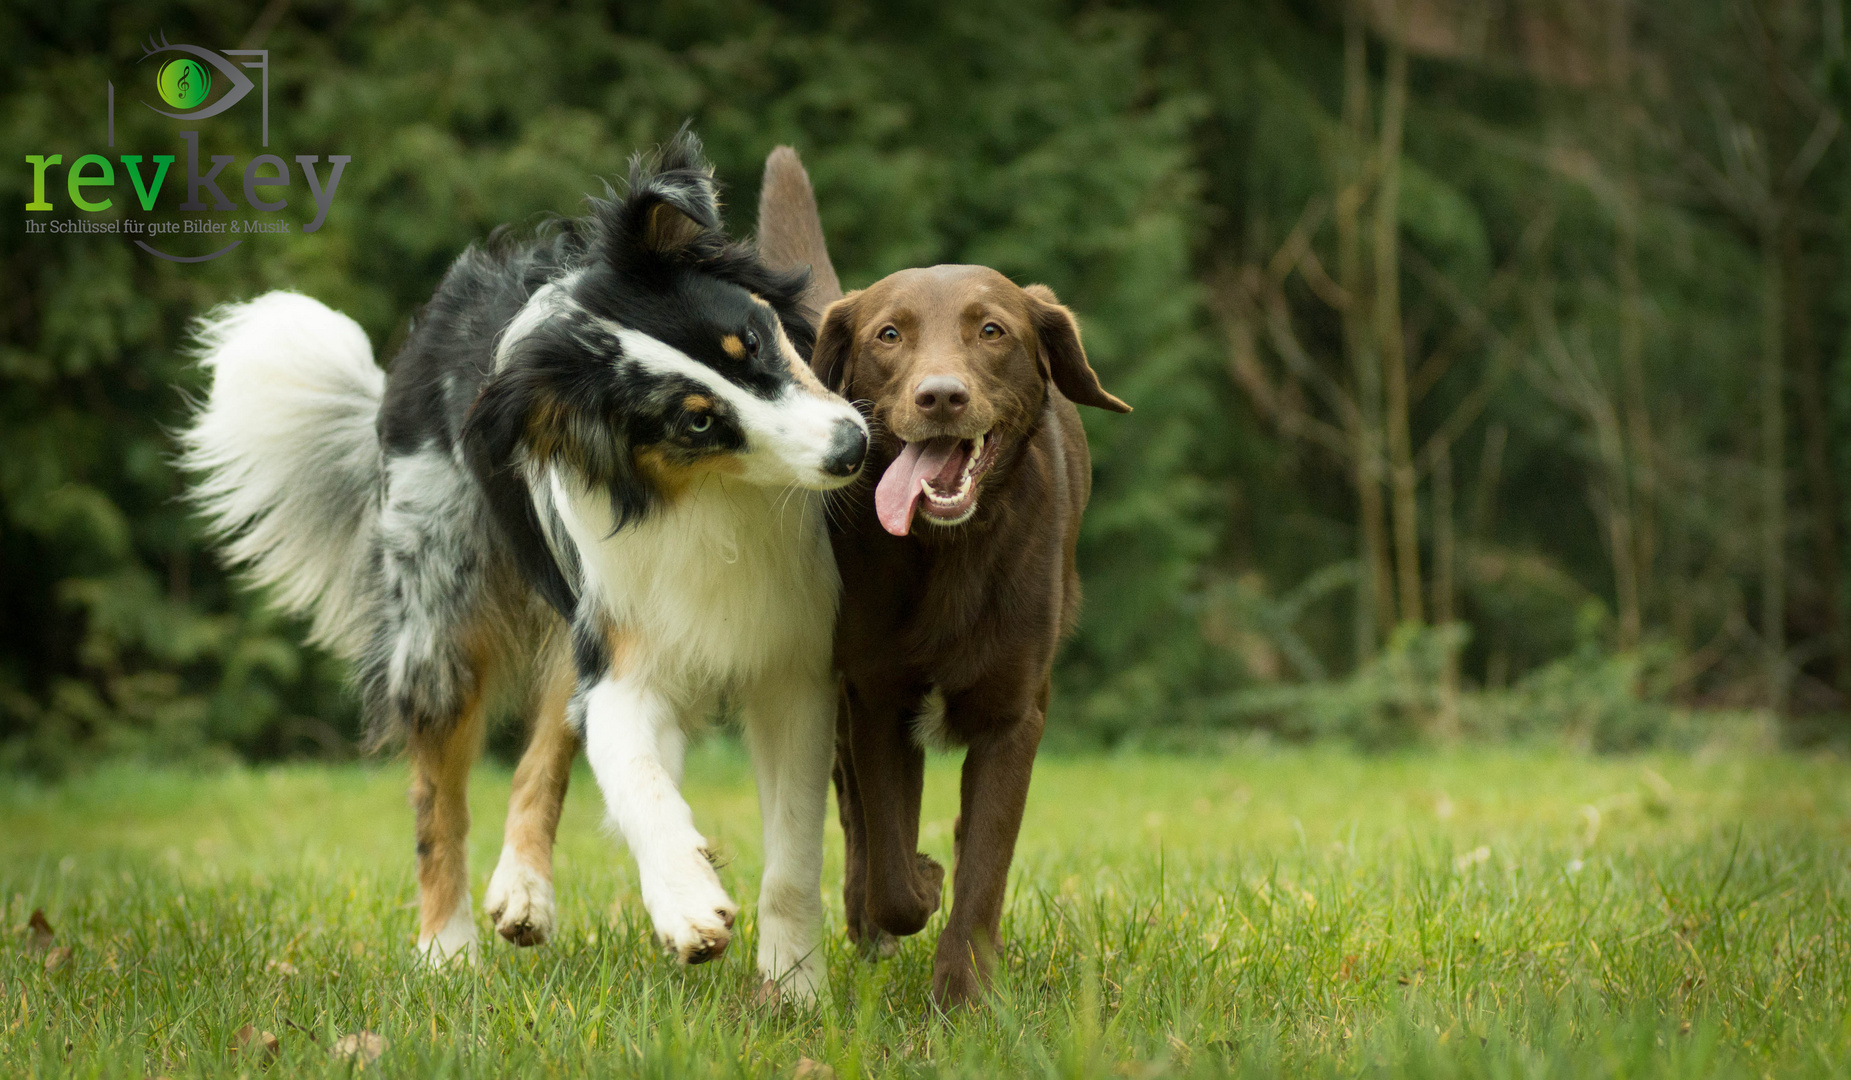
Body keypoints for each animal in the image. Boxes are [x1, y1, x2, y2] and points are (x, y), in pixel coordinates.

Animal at [180, 130, 866, 1000]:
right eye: (696, 422)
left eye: (755, 339)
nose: (852, 448)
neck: (719, 500)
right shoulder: (621, 649)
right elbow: (631, 774)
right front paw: (685, 900)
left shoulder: (792, 665)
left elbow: (791, 852)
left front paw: (793, 988)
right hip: (441, 618)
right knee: (437, 797)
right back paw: (446, 947)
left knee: (540, 754)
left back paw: (522, 891)